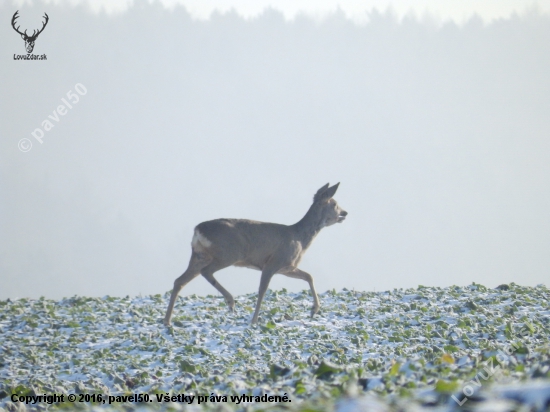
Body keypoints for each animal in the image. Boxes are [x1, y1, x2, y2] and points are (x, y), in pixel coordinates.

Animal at [162, 183, 350, 326]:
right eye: (334, 203)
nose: (345, 213)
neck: (300, 239)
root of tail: (198, 229)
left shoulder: (286, 267)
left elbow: (309, 276)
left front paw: (314, 310)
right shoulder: (273, 263)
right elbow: (262, 290)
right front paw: (254, 321)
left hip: (199, 255)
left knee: (179, 280)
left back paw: (167, 321)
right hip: (228, 253)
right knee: (205, 272)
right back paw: (230, 302)